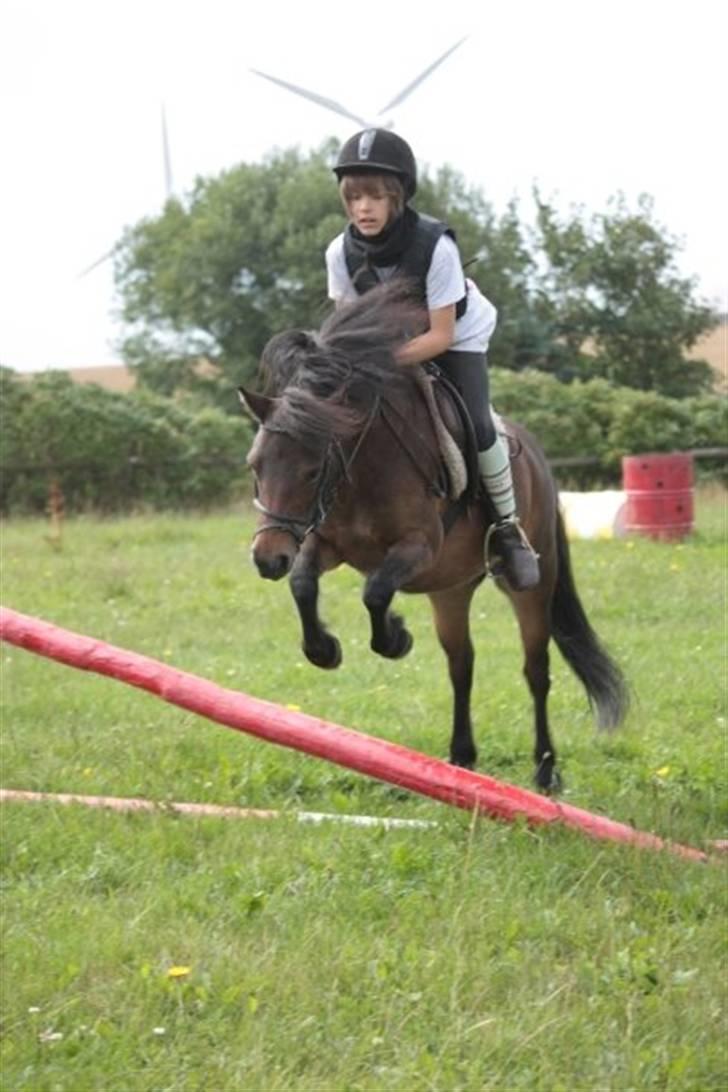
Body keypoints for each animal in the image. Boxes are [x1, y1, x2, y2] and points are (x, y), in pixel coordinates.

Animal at [239, 282, 628, 792]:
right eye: (255, 466)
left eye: (311, 470)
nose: (267, 559)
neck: (360, 466)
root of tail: (537, 456)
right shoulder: (325, 544)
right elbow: (304, 584)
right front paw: (325, 649)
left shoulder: (418, 547)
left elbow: (375, 591)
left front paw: (396, 637)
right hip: (451, 590)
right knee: (461, 665)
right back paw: (461, 758)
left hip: (531, 584)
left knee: (536, 670)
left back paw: (545, 770)